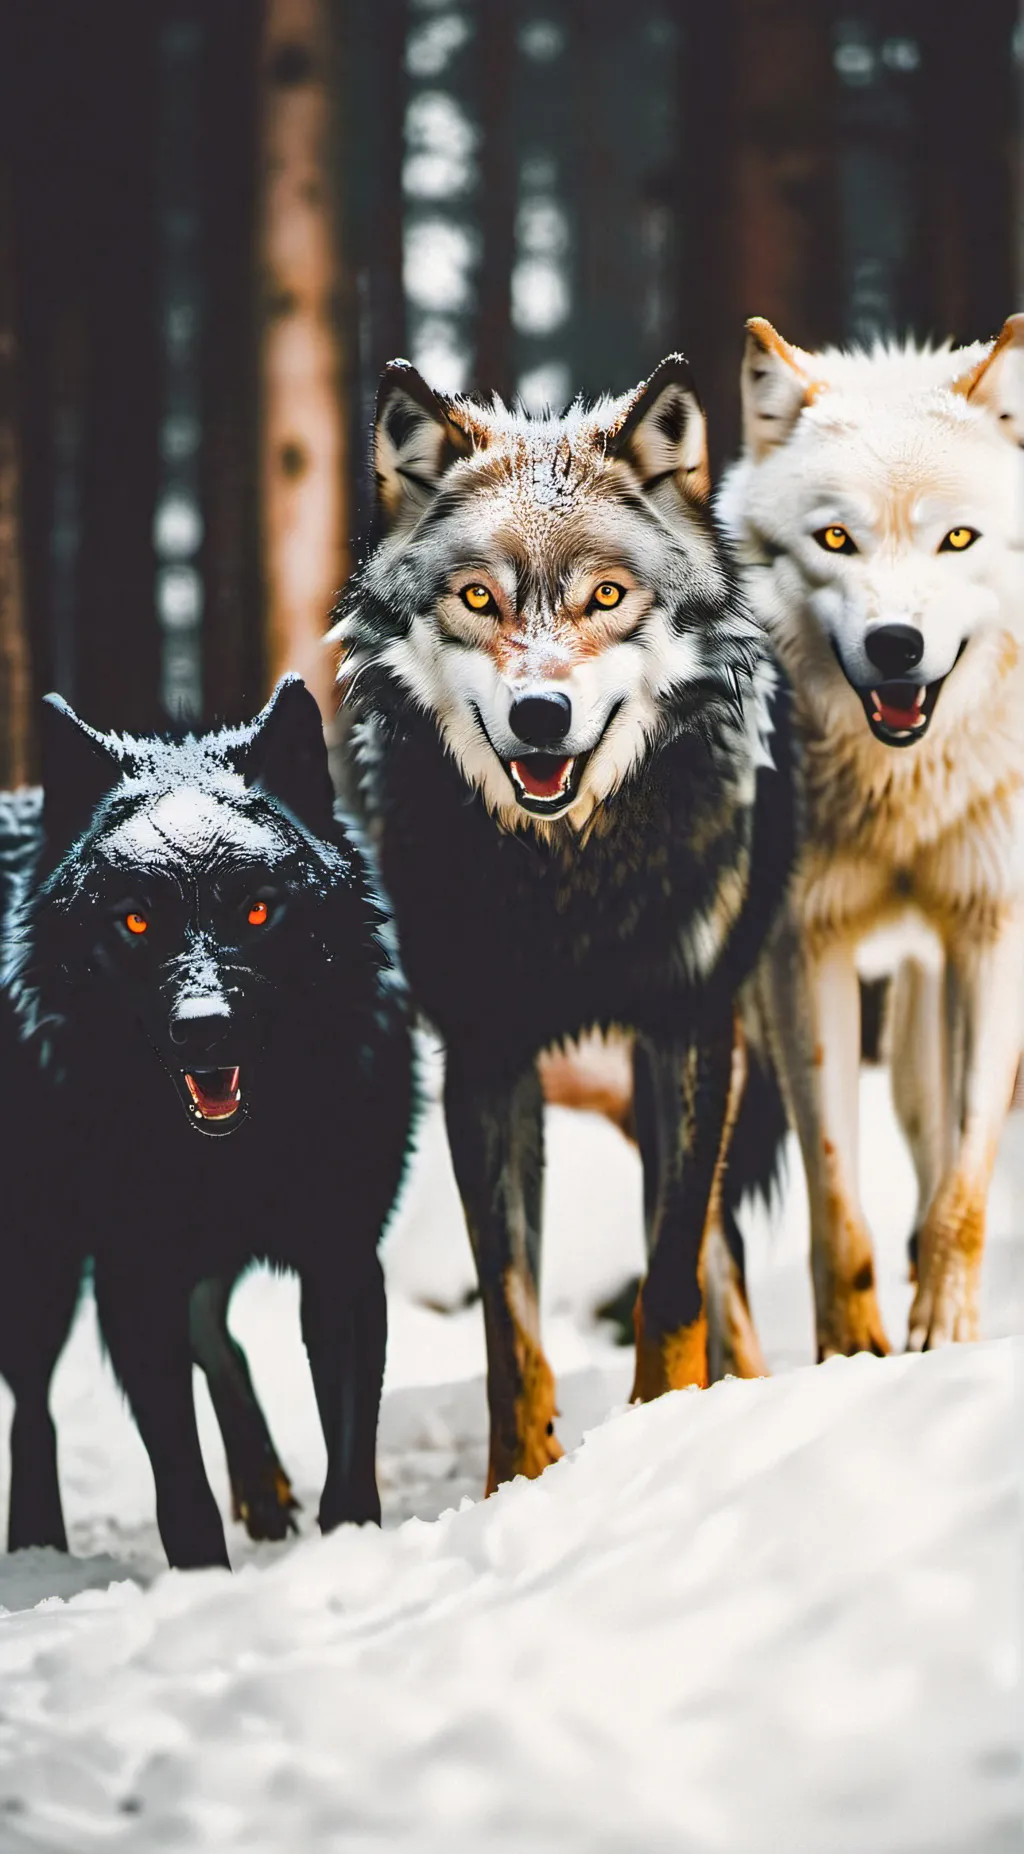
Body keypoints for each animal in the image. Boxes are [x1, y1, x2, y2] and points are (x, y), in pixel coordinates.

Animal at [0, 676, 415, 1568]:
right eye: (134, 921)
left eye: (257, 912)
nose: (204, 1028)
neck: (234, 1157)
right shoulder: (133, 1280)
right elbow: (181, 1488)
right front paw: (205, 1581)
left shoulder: (341, 1256)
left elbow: (349, 1453)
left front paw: (349, 1551)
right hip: (40, 1270)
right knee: (33, 1408)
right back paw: (38, 1549)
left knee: (217, 1335)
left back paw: (261, 1488)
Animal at [332, 355, 796, 1490]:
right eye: (478, 597)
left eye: (607, 596)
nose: (539, 715)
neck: (568, 882)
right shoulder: (485, 1061)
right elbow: (511, 1324)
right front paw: (516, 1483)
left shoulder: (687, 1032)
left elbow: (671, 1283)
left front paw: (659, 1437)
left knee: (717, 1256)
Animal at [718, 314, 1024, 1357]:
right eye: (837, 539)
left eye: (957, 538)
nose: (897, 645)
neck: (902, 796)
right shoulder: (800, 950)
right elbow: (835, 1199)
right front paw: (852, 1354)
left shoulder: (992, 935)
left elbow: (964, 1181)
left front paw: (945, 1332)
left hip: (928, 986)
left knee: (928, 1135)